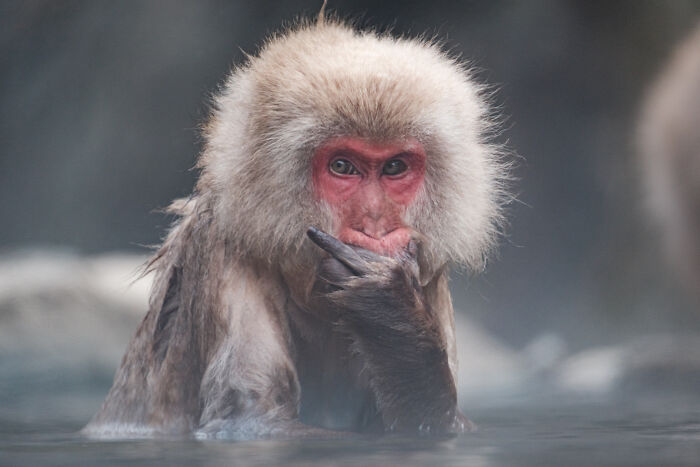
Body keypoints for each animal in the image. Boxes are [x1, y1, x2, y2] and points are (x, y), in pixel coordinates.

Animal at [83, 13, 509, 440]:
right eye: (342, 166)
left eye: (394, 167)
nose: (374, 223)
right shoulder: (228, 252)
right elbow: (251, 422)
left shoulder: (428, 277)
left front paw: (394, 319)